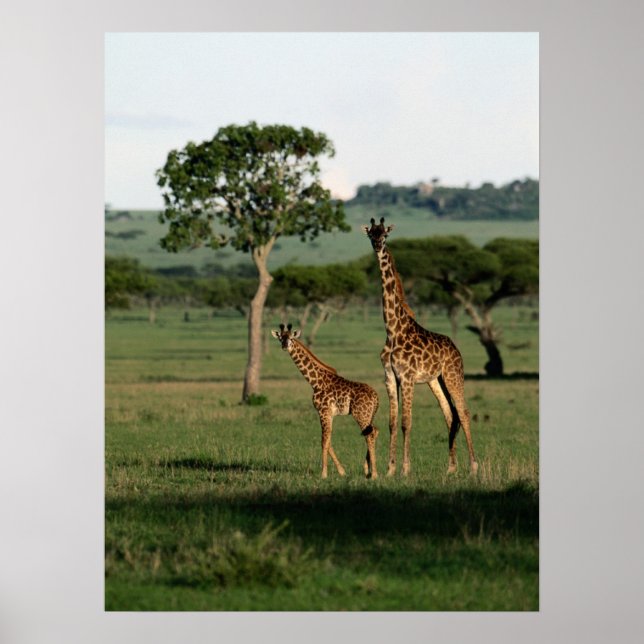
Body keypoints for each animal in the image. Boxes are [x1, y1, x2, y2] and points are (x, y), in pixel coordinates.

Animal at [271, 323, 379, 479]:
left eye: (291, 338)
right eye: (281, 338)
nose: (285, 346)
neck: (315, 382)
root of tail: (376, 397)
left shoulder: (323, 411)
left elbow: (324, 441)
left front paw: (323, 474)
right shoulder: (329, 414)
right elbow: (329, 441)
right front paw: (341, 471)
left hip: (361, 415)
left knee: (369, 435)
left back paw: (374, 474)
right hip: (369, 415)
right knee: (374, 431)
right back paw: (367, 470)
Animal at [363, 217, 478, 477]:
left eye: (385, 234)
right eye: (371, 234)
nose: (377, 246)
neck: (392, 330)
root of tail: (456, 349)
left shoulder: (407, 377)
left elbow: (407, 423)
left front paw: (405, 469)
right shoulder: (390, 377)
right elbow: (392, 422)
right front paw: (390, 469)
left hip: (453, 375)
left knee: (464, 412)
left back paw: (474, 466)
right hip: (436, 380)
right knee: (450, 415)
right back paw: (451, 468)